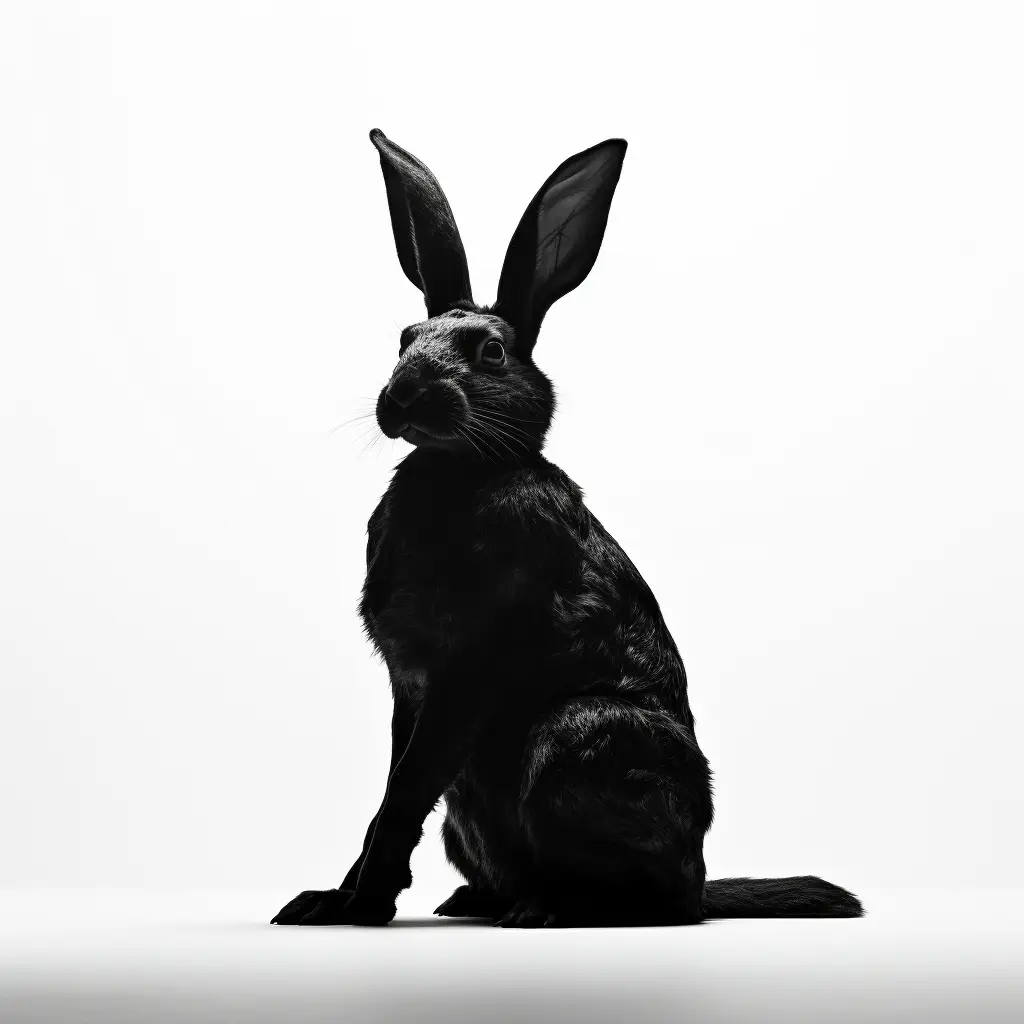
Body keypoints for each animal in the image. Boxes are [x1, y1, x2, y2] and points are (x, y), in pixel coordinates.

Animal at [271, 129, 863, 928]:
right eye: (404, 337)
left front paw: (359, 908)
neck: (464, 470)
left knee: (660, 902)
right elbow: (390, 789)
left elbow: (404, 792)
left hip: (579, 739)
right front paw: (327, 901)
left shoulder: (463, 670)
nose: (402, 398)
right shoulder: (409, 685)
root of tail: (703, 881)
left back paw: (550, 910)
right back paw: (477, 901)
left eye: (490, 352)